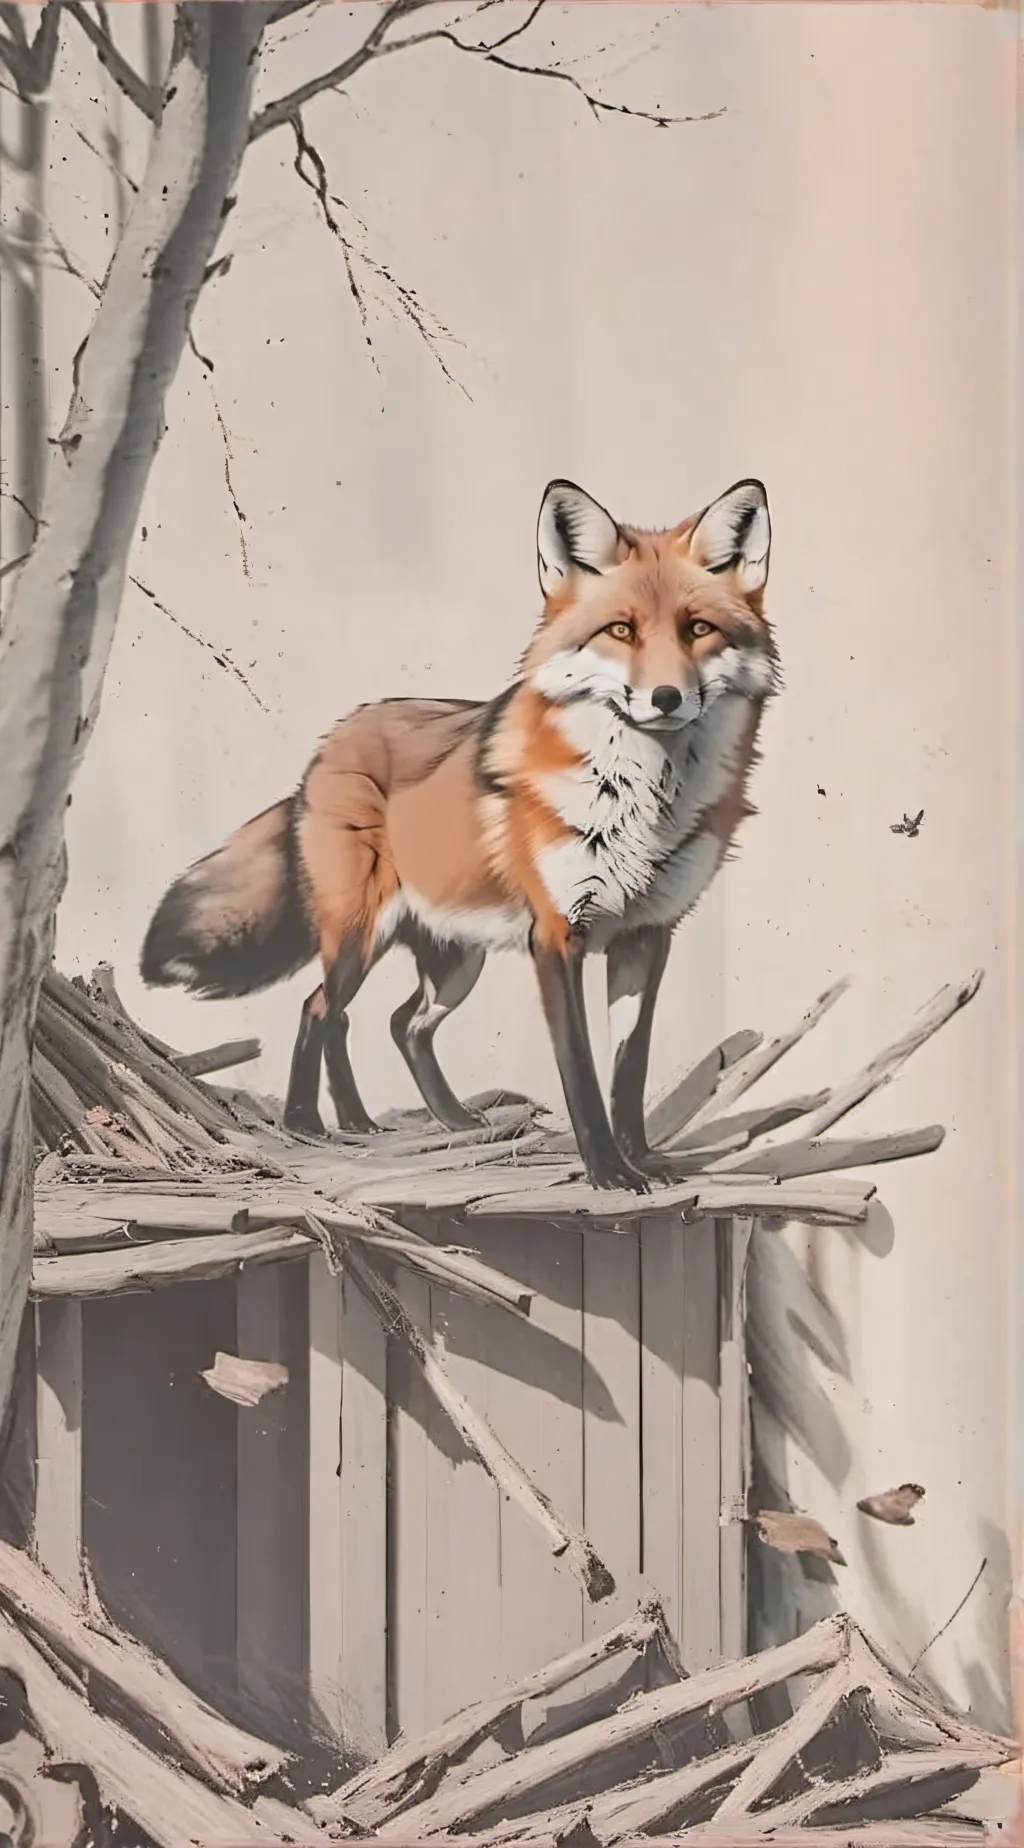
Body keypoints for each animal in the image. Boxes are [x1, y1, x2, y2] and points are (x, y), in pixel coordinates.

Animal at [141, 476, 778, 1193]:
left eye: (699, 630)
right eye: (621, 630)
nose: (667, 697)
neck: (644, 810)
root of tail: (330, 742)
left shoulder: (647, 934)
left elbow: (629, 1068)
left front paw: (640, 1159)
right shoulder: (556, 937)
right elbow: (581, 1073)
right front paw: (607, 1173)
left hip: (453, 960)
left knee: (395, 1023)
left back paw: (420, 1121)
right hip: (361, 936)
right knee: (321, 1009)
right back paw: (309, 1121)